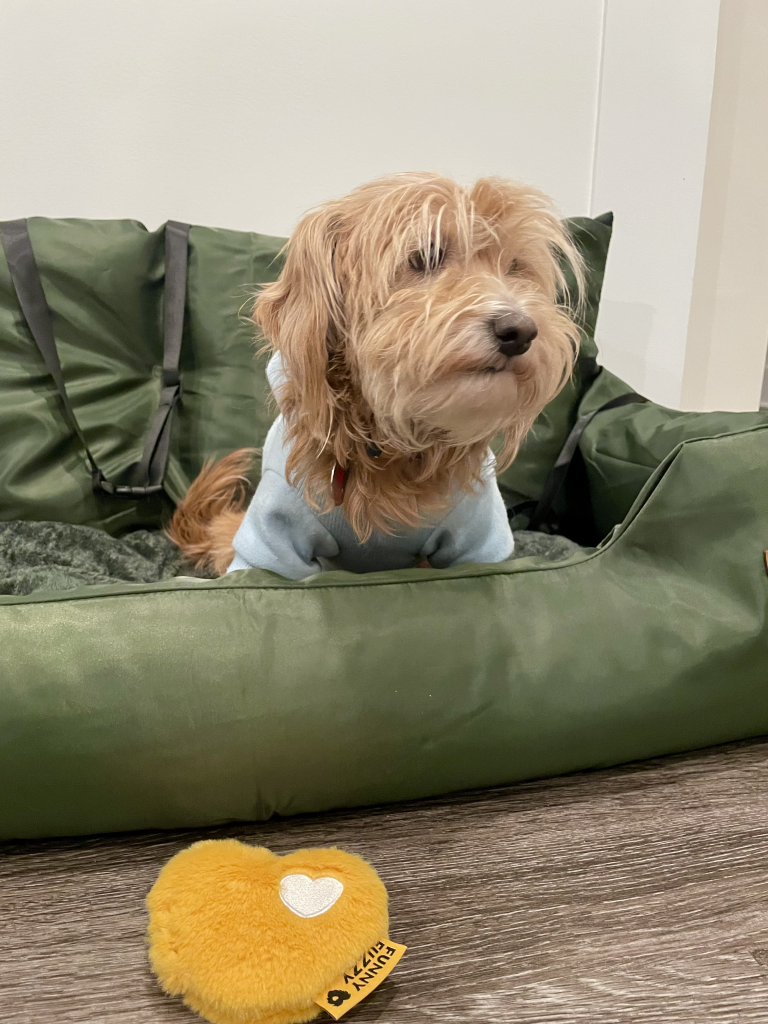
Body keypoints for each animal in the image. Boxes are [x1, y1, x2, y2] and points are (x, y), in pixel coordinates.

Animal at [167, 172, 581, 581]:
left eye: (515, 266)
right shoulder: (272, 539)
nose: (521, 331)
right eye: (424, 256)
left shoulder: (478, 540)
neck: (391, 444)